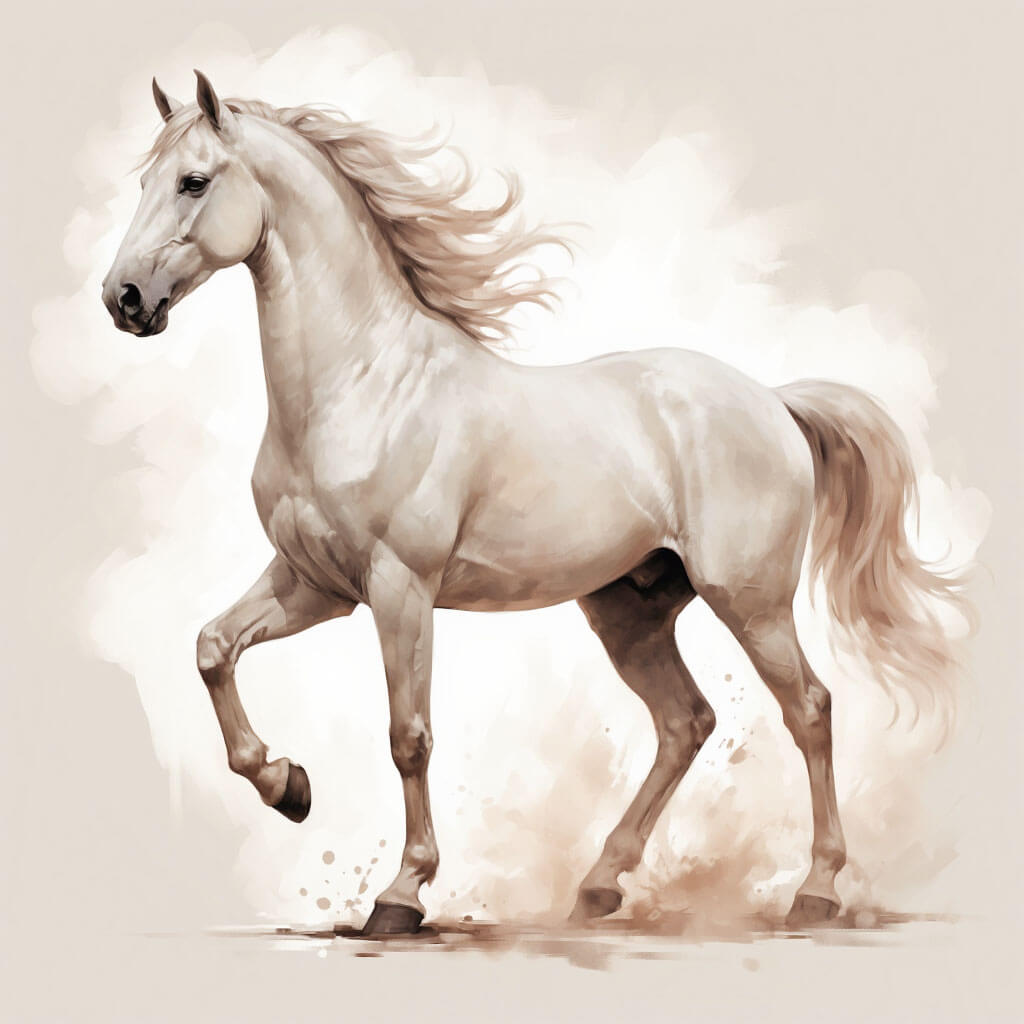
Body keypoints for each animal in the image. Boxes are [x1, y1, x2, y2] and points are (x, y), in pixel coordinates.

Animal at [102, 71, 966, 936]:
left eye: (193, 181)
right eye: (143, 182)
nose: (124, 299)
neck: (362, 385)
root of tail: (774, 401)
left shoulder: (399, 587)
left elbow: (408, 736)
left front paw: (401, 895)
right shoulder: (315, 584)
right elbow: (213, 648)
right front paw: (288, 786)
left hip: (749, 600)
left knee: (810, 708)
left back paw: (814, 892)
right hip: (630, 612)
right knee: (685, 722)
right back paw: (599, 887)